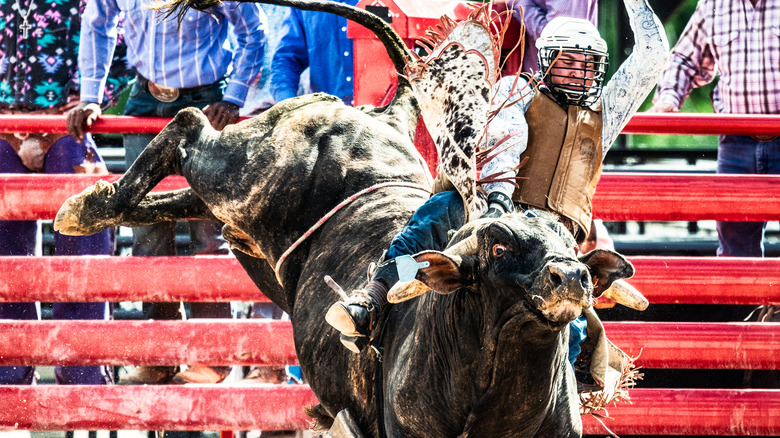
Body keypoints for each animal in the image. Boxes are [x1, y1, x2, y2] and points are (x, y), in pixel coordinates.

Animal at [53, 1, 640, 436]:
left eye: (570, 245)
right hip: (243, 171)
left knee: (181, 196)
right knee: (188, 122)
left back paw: (86, 205)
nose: (571, 277)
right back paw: (89, 207)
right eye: (497, 244)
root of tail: (383, 116)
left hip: (248, 224)